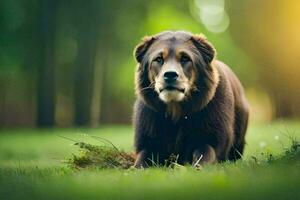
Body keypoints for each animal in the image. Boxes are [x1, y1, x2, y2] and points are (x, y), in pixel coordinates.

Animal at [133, 30, 248, 167]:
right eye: (159, 59)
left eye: (185, 58)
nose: (170, 75)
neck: (175, 110)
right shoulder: (148, 137)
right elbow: (142, 159)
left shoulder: (212, 137)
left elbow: (206, 153)